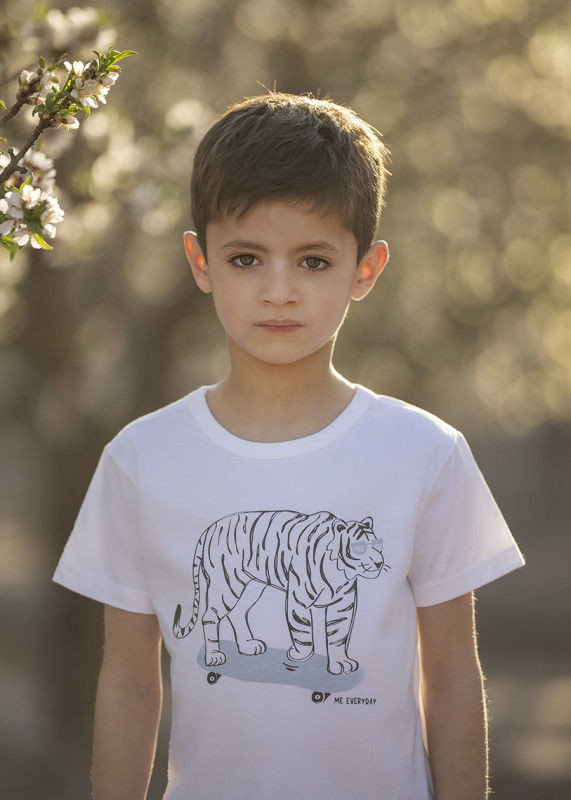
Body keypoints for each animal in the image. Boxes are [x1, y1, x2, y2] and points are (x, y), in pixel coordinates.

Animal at [173, 509, 388, 675]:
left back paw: (248, 646)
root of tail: (209, 529)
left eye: (378, 545)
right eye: (359, 548)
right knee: (209, 616)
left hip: (251, 586)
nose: (379, 562)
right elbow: (302, 631)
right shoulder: (299, 599)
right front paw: (299, 654)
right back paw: (214, 656)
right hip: (225, 585)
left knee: (237, 612)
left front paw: (340, 663)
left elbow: (338, 636)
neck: (341, 572)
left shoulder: (343, 605)